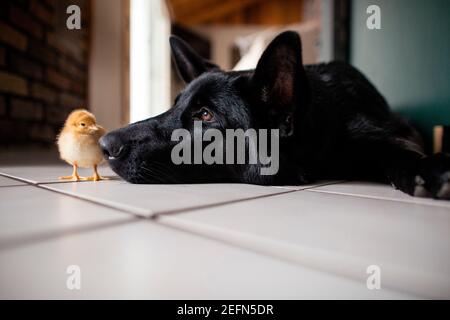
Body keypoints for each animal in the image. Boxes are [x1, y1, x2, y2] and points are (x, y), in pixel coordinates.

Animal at [101, 31, 450, 199]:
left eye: (205, 115)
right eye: (175, 105)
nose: (104, 145)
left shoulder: (388, 132)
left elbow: (400, 149)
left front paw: (429, 168)